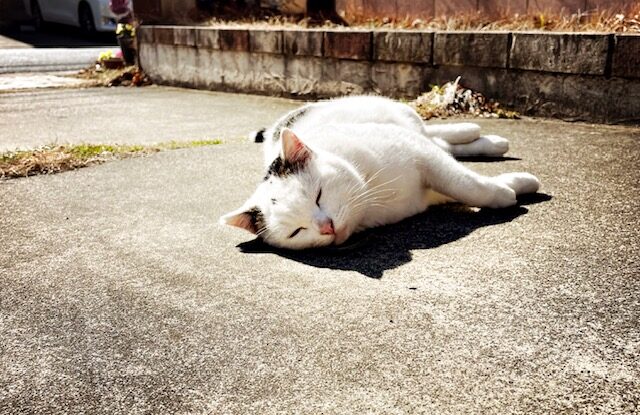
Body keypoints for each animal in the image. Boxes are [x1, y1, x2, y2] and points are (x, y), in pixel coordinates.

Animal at [220, 95, 540, 250]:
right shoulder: (431, 186)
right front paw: (514, 184)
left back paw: (479, 132)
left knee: (436, 134)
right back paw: (490, 142)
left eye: (318, 195)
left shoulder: (420, 152)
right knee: (445, 144)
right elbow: (466, 182)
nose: (327, 227)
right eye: (296, 231)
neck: (372, 197)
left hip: (400, 120)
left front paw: (506, 193)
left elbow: (467, 184)